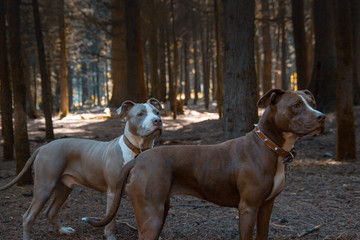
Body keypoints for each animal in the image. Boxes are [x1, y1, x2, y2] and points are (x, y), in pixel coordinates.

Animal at [83, 89, 324, 239]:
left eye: (312, 103)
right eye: (296, 105)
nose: (321, 116)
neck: (268, 146)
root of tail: (139, 159)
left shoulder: (267, 206)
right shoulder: (248, 208)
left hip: (160, 209)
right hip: (151, 213)